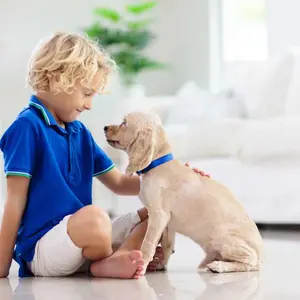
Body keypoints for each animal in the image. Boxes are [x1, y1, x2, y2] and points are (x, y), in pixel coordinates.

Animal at [104, 111, 264, 274]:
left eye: (124, 123)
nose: (105, 127)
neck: (157, 164)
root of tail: (262, 255)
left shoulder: (158, 215)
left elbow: (148, 245)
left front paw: (141, 267)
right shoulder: (168, 221)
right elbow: (167, 245)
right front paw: (161, 264)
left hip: (223, 238)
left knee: (251, 261)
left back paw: (219, 266)